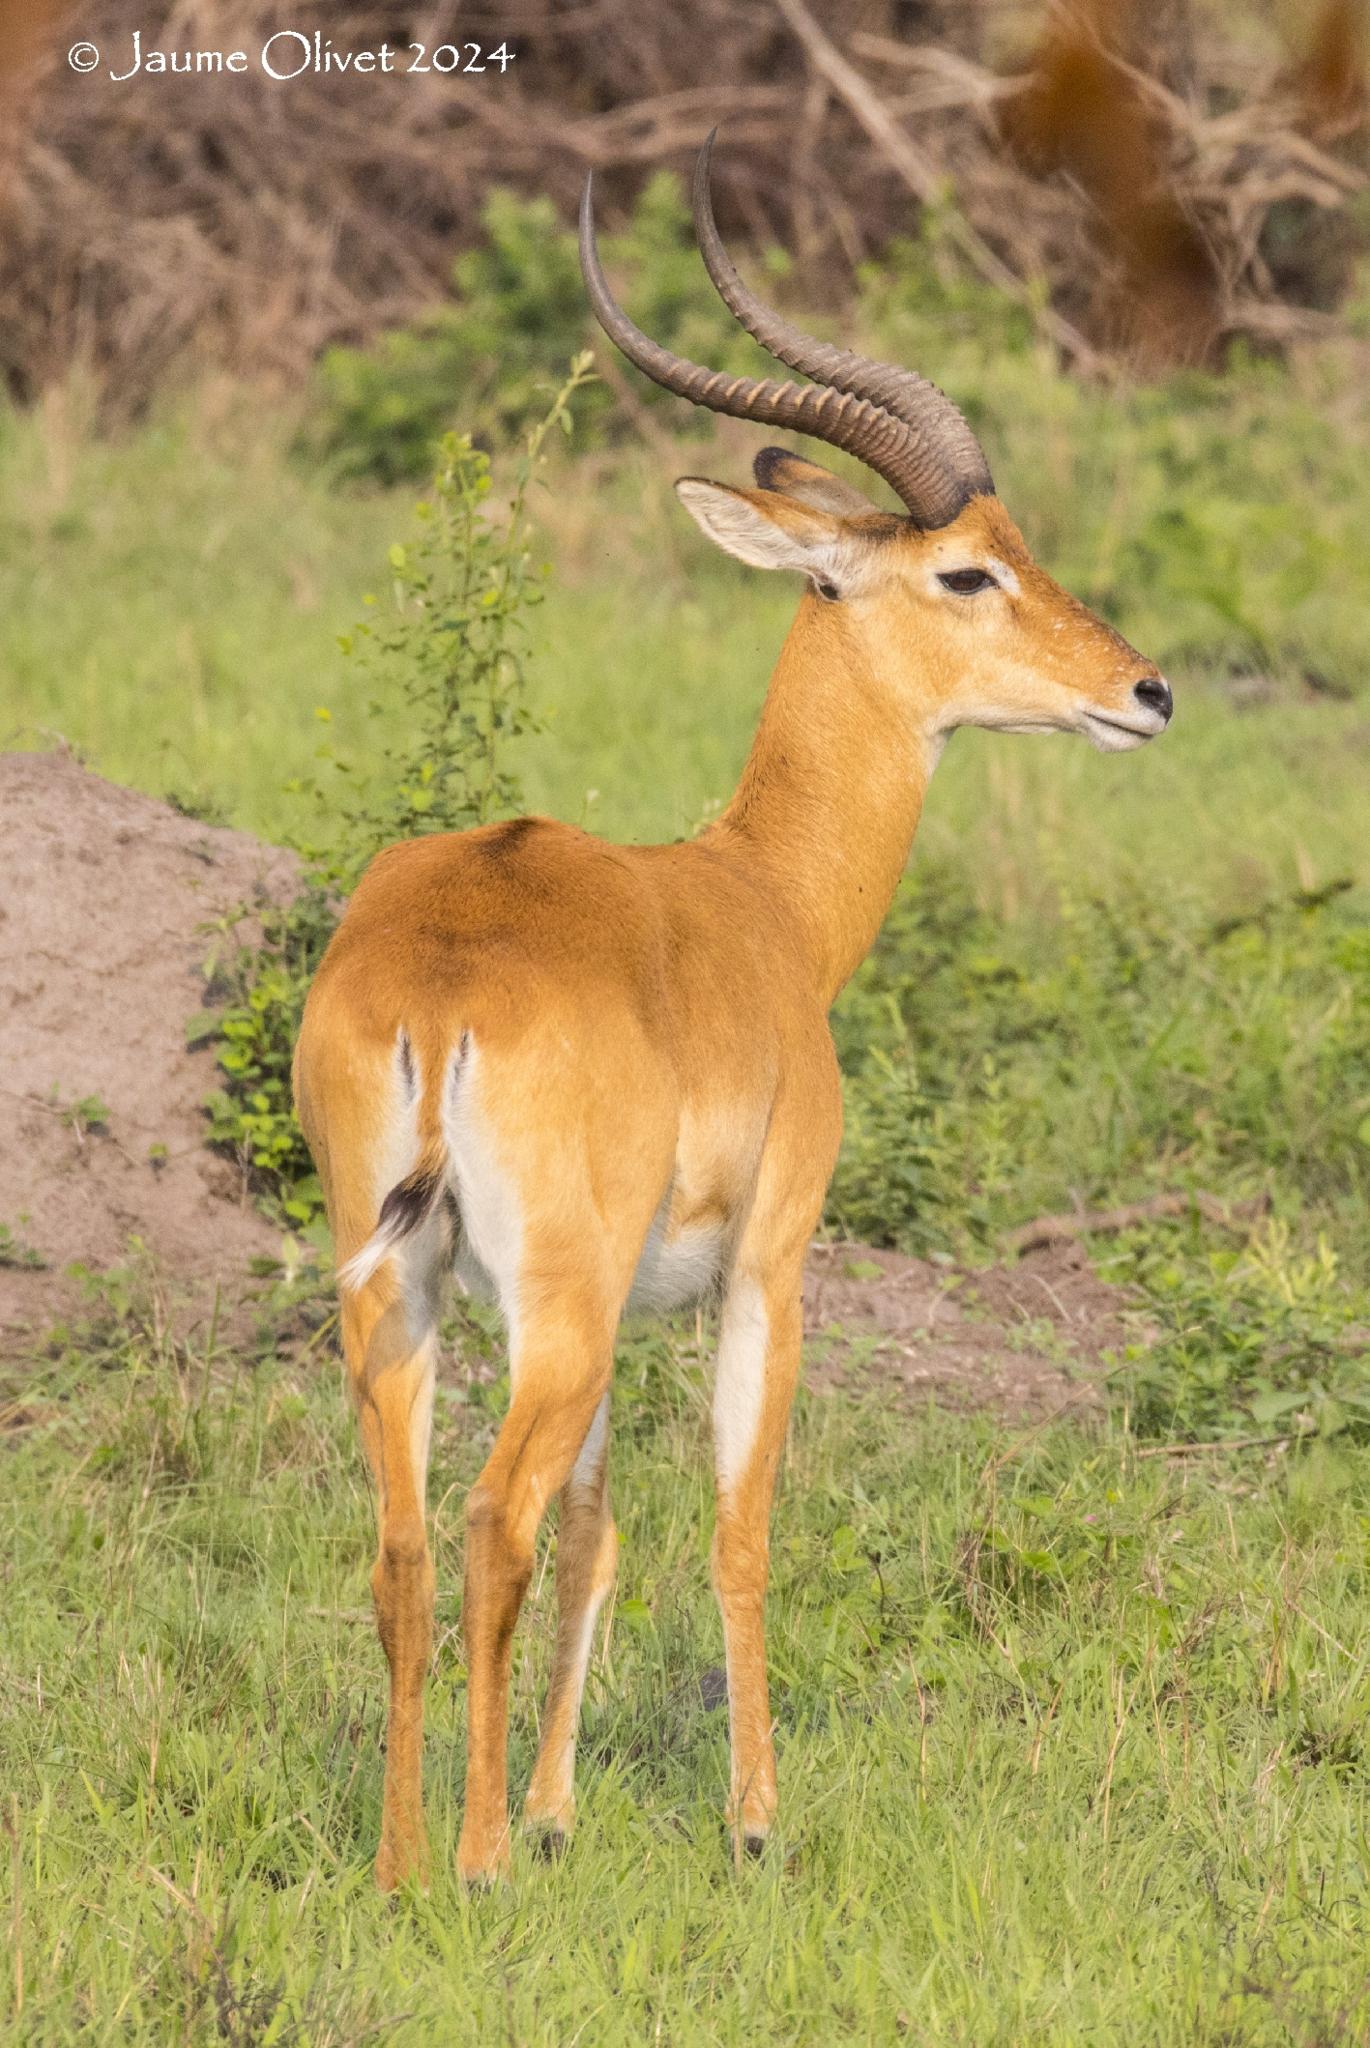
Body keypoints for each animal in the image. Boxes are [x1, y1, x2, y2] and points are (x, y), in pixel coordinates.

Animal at [288, 132, 1163, 1884]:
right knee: (486, 1521)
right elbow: (735, 1528)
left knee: (409, 1545)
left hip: (403, 1293)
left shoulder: (622, 1308)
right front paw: (753, 1823)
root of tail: (439, 975)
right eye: (966, 566)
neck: (758, 903)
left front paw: (561, 1810)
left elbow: (601, 1535)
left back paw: (411, 1859)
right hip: (542, 1307)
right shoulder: (767, 1264)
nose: (1143, 690)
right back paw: (471, 1864)